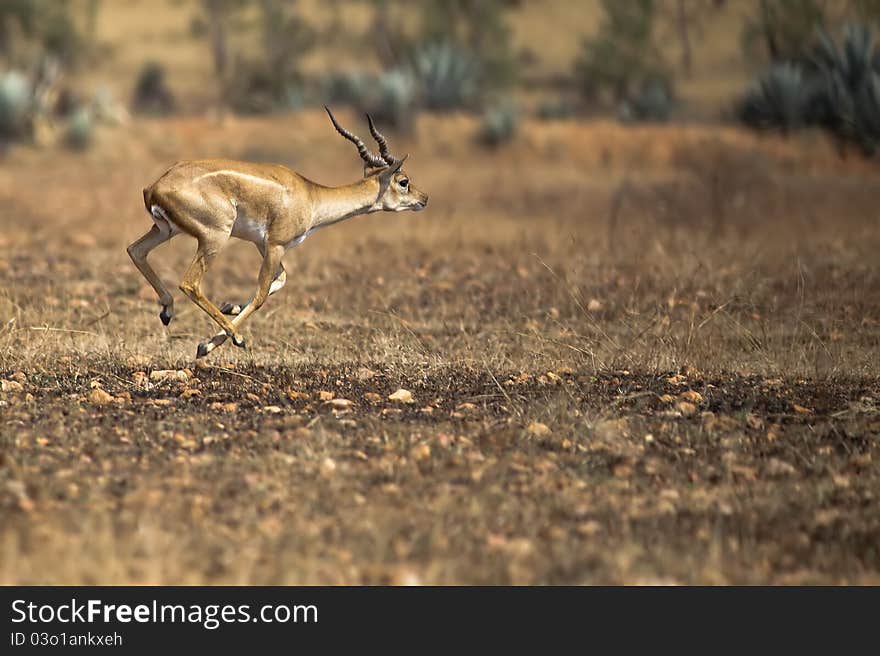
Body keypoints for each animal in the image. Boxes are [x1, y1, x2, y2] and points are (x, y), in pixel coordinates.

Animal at [129, 110, 428, 362]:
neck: (311, 196)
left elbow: (280, 280)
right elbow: (262, 293)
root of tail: (155, 187)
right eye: (404, 181)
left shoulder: (264, 245)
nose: (424, 199)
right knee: (189, 283)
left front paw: (229, 307)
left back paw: (167, 311)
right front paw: (208, 344)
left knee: (136, 250)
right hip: (215, 238)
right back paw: (236, 337)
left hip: (166, 230)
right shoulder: (276, 245)